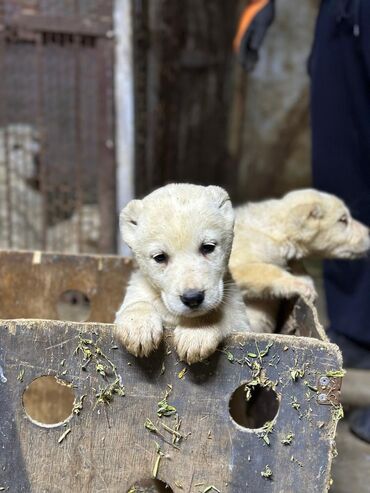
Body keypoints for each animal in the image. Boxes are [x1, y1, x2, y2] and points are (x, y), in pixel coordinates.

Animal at [114, 183, 250, 364]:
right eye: (160, 257)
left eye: (208, 247)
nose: (192, 298)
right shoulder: (139, 287)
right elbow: (135, 303)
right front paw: (139, 329)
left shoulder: (239, 314)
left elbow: (227, 317)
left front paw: (195, 335)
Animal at [230, 187, 368, 330]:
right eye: (343, 220)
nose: (369, 232)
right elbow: (265, 270)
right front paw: (301, 285)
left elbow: (298, 267)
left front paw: (308, 285)